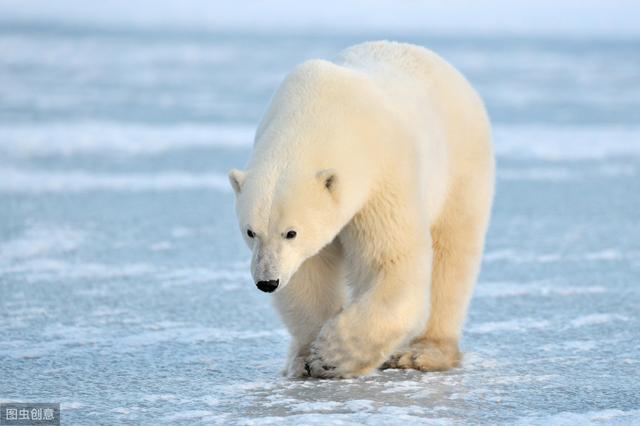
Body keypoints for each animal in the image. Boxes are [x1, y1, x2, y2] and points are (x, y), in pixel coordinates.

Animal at [230, 41, 496, 378]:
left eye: (291, 232)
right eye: (250, 231)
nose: (267, 282)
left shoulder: (382, 176)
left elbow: (391, 261)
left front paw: (332, 354)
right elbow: (308, 274)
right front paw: (308, 357)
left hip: (460, 168)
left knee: (452, 255)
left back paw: (423, 353)